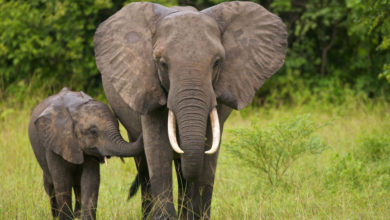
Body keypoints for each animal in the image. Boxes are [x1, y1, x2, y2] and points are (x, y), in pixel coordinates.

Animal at [28, 88, 143, 220]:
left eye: (119, 128)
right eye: (93, 132)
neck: (76, 109)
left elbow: (90, 181)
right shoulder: (54, 144)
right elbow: (62, 183)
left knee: (78, 187)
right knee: (50, 187)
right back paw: (56, 216)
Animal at [94, 1, 286, 218]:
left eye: (217, 62)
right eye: (162, 63)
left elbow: (209, 153)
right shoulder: (147, 85)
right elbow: (157, 150)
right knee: (144, 166)